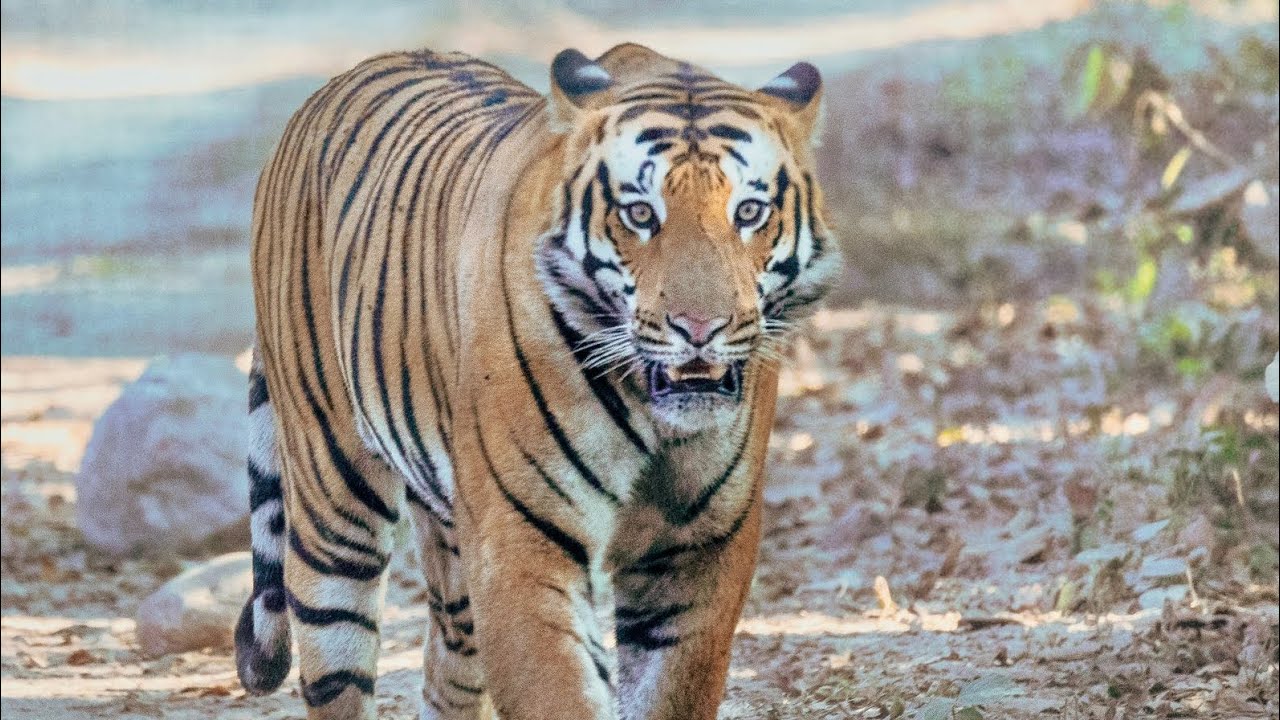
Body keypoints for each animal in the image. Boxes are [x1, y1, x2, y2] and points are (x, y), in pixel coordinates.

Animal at [234, 42, 840, 720]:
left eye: (749, 212)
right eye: (640, 213)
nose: (700, 328)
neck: (653, 415)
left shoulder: (699, 551)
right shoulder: (520, 541)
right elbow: (555, 689)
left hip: (450, 543)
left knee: (449, 667)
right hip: (333, 507)